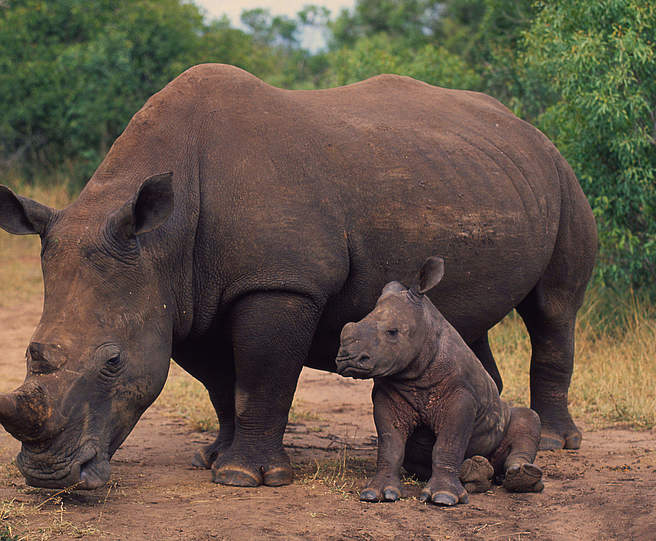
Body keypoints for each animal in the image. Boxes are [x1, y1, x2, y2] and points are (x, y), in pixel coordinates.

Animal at [338, 255, 544, 504]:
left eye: (393, 332)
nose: (347, 359)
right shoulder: (388, 394)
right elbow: (390, 444)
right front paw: (376, 494)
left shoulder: (462, 395)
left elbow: (449, 443)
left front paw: (444, 498)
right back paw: (477, 472)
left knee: (528, 418)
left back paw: (522, 477)